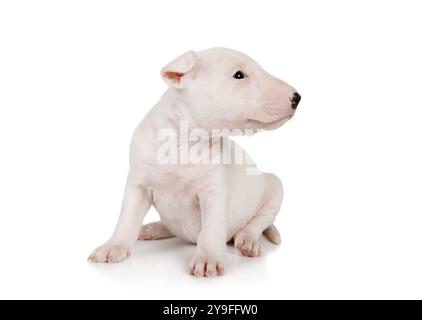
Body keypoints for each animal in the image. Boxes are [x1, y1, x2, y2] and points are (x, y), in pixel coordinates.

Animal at [88, 47, 300, 278]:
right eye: (239, 75)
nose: (297, 97)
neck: (184, 144)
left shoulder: (214, 190)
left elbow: (211, 228)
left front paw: (208, 260)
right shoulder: (138, 184)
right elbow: (126, 218)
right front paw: (111, 248)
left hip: (274, 187)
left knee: (258, 222)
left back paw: (247, 241)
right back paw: (151, 228)